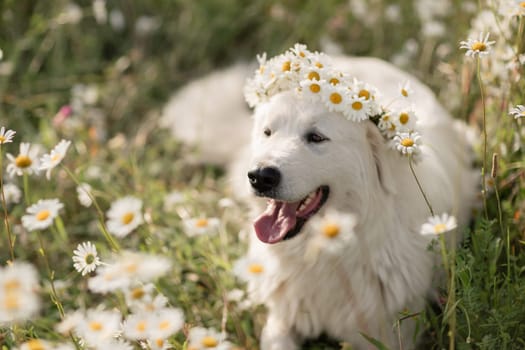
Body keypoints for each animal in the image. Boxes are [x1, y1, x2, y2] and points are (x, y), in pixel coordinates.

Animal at [162, 45, 476, 348]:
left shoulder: (390, 335)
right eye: (268, 132)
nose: (260, 176)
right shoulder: (281, 321)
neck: (327, 252)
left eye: (316, 137)